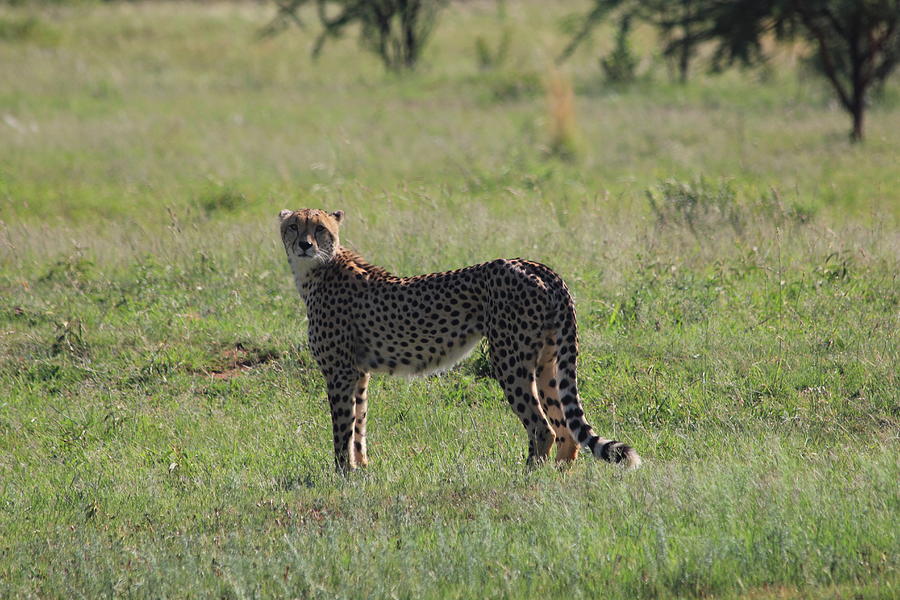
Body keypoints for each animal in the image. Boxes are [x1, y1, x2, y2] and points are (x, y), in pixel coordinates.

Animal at [280, 209, 640, 472]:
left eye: (320, 229)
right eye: (294, 226)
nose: (305, 245)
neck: (318, 269)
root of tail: (536, 265)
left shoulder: (339, 372)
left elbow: (343, 426)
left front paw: (342, 472)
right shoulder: (359, 372)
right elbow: (359, 423)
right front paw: (361, 468)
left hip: (509, 359)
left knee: (542, 427)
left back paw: (526, 476)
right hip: (548, 361)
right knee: (566, 430)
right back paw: (559, 477)